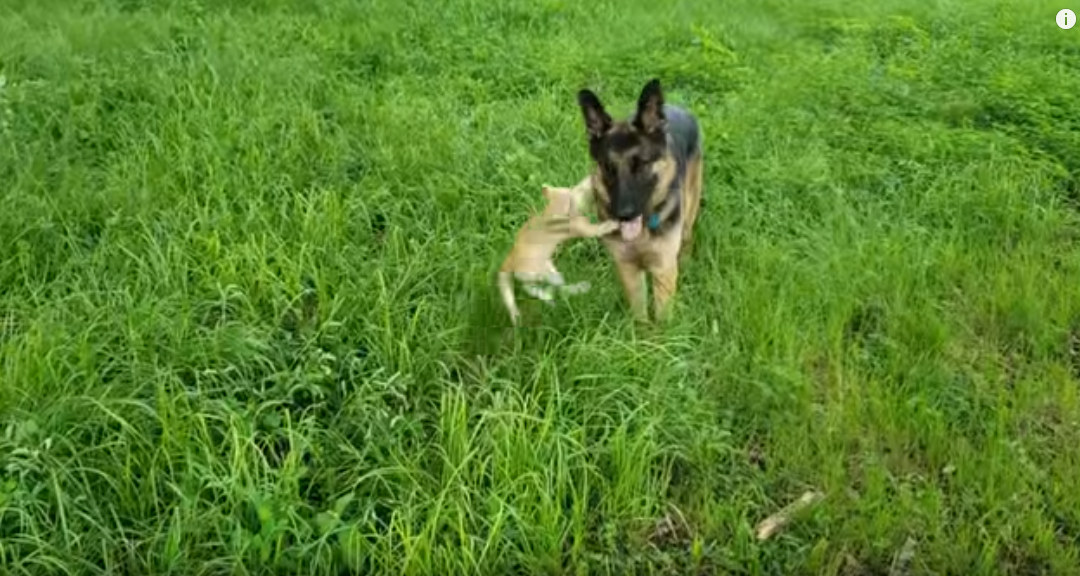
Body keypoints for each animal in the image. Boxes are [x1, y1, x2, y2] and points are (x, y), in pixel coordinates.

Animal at [578, 79, 704, 324]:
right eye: (608, 167)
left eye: (642, 164)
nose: (623, 214)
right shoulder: (628, 269)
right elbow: (640, 317)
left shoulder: (664, 269)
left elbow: (662, 319)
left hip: (688, 214)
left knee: (687, 239)